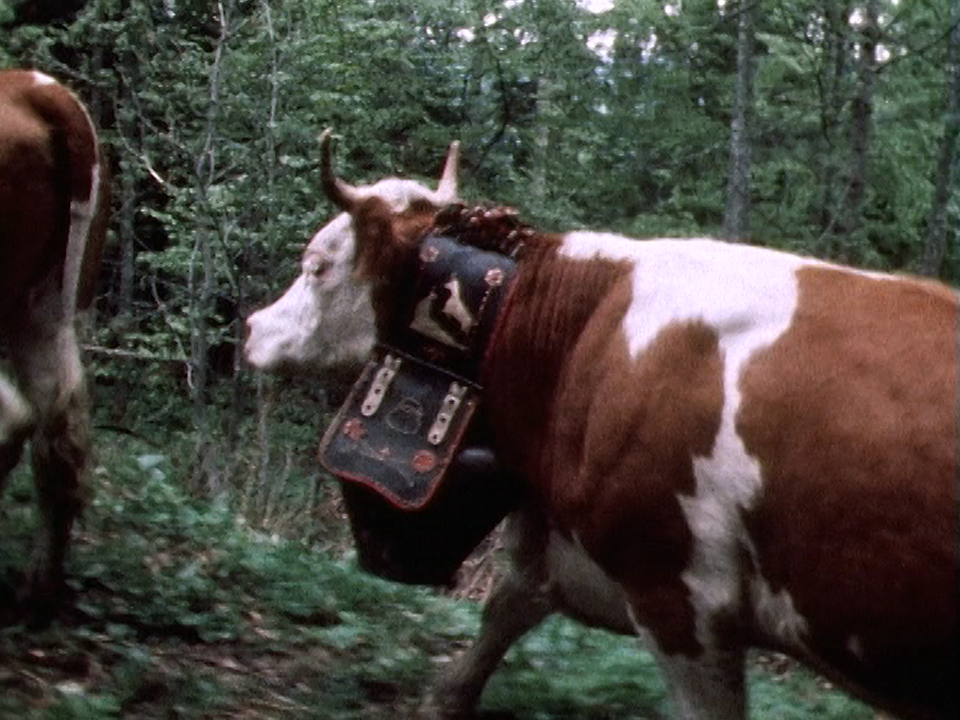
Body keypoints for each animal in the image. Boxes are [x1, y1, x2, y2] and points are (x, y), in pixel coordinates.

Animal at [304, 134, 956, 720]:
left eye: (316, 267)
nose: (270, 331)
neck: (588, 327)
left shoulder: (677, 592)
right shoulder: (570, 537)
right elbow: (512, 600)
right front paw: (446, 697)